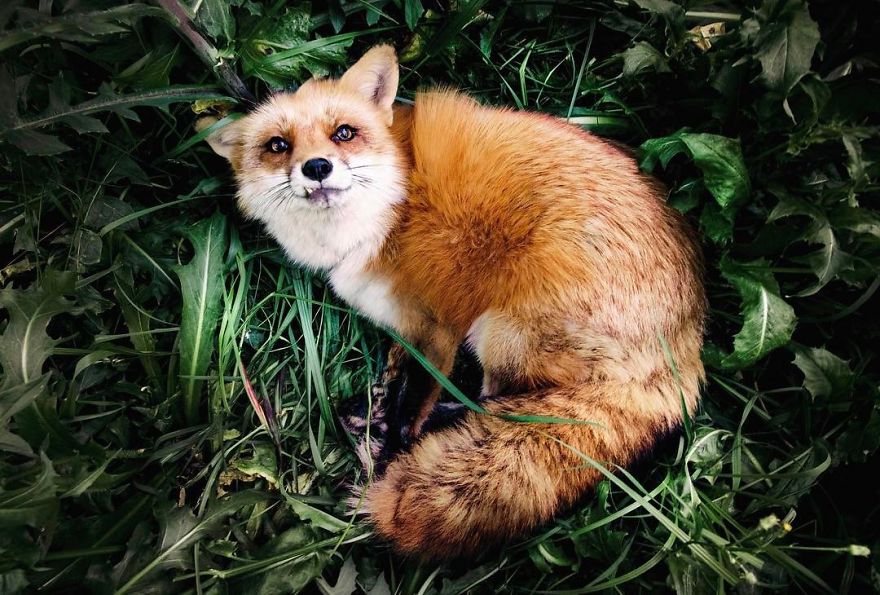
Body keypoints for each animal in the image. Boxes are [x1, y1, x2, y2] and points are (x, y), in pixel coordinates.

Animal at [199, 45, 706, 560]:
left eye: (343, 132)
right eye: (277, 145)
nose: (317, 167)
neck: (389, 209)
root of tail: (685, 348)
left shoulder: (441, 326)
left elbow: (413, 406)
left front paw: (393, 452)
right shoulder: (406, 327)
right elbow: (396, 375)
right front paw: (381, 406)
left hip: (501, 333)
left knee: (502, 403)